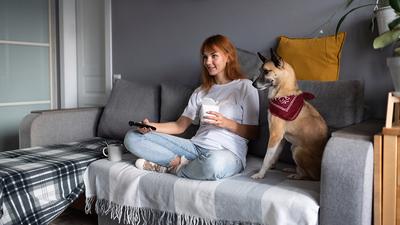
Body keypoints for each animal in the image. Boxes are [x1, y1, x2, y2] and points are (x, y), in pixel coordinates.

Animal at [252, 49, 326, 181]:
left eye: (266, 71)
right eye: (260, 71)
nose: (253, 84)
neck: (283, 94)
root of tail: (321, 175)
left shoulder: (275, 135)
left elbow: (266, 158)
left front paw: (260, 174)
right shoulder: (280, 139)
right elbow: (273, 156)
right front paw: (269, 168)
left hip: (296, 149)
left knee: (308, 175)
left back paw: (296, 174)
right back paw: (293, 169)